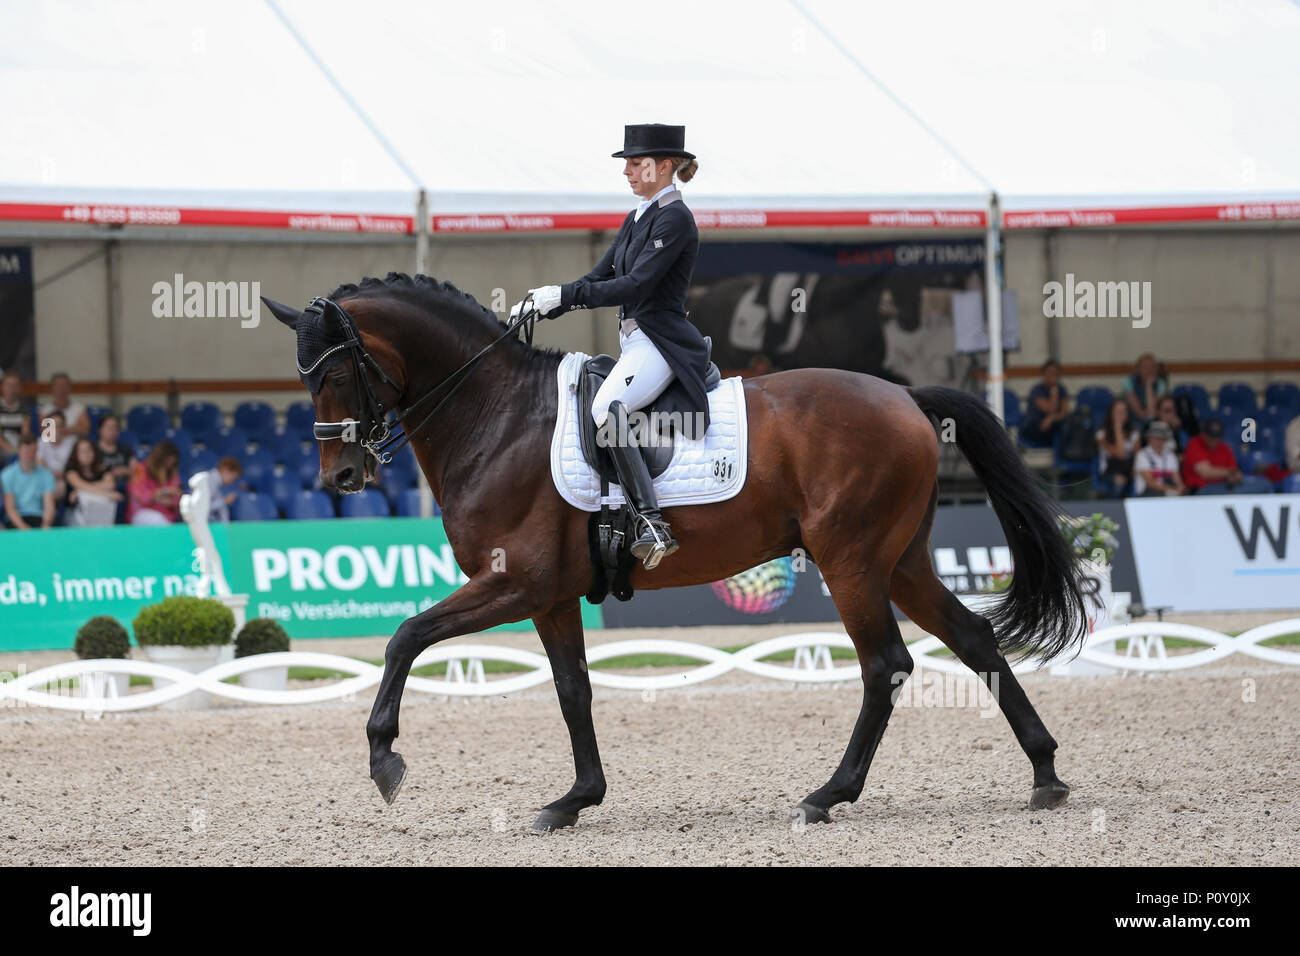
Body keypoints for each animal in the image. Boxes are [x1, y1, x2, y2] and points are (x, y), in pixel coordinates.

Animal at [266, 270, 1086, 832]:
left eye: (334, 373)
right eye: (303, 378)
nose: (340, 478)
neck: (495, 417)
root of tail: (907, 397)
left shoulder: (514, 584)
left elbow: (405, 636)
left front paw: (384, 757)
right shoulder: (552, 598)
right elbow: (572, 692)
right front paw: (574, 801)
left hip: (851, 561)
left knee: (885, 665)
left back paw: (827, 795)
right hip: (902, 562)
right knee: (974, 640)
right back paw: (1045, 773)